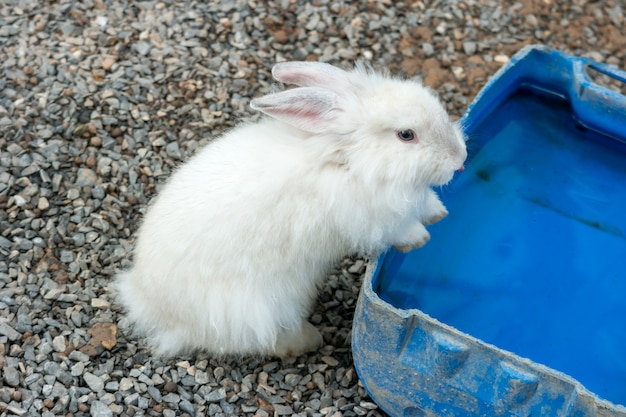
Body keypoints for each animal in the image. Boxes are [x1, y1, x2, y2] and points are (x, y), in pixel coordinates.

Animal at [113, 61, 464, 358]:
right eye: (406, 135)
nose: (460, 160)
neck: (347, 159)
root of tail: (150, 305)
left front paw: (439, 212)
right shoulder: (374, 219)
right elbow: (401, 230)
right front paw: (420, 239)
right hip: (259, 308)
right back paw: (308, 340)